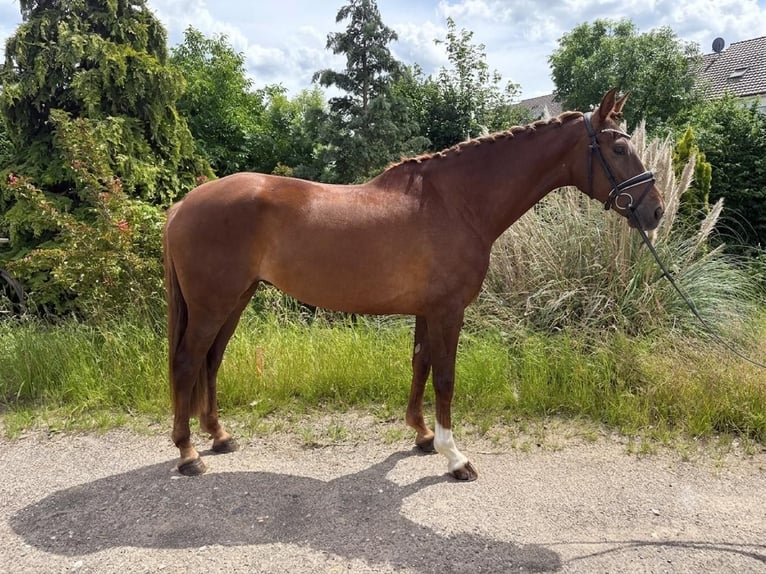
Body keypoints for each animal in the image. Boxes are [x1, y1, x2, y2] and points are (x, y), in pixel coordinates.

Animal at [163, 88, 664, 481]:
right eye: (618, 150)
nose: (655, 210)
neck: (456, 202)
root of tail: (184, 203)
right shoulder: (448, 310)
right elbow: (444, 376)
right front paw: (454, 456)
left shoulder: (427, 309)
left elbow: (420, 364)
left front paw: (422, 435)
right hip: (213, 303)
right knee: (188, 362)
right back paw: (188, 453)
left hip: (235, 299)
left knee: (211, 360)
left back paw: (219, 436)